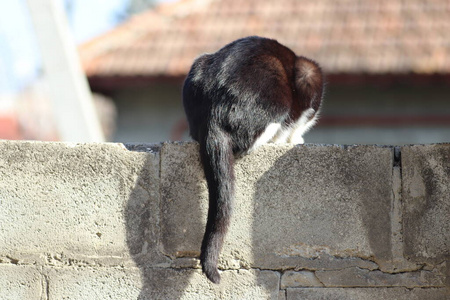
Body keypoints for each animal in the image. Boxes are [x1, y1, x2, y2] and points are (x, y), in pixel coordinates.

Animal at [182, 35, 324, 284]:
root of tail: (213, 112)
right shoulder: (308, 87)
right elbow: (297, 125)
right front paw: (295, 139)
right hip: (282, 93)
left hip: (198, 66)